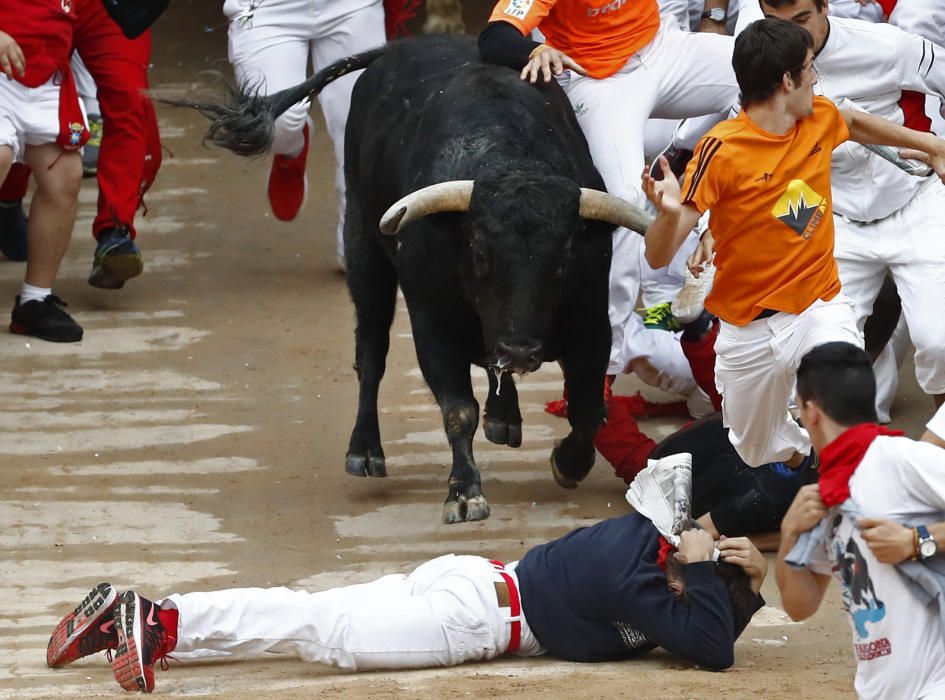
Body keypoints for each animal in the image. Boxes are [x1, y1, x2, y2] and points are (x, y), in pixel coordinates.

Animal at [175, 35, 648, 524]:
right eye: (480, 252)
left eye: (563, 258)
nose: (520, 349)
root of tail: (402, 45)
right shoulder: (432, 327)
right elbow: (458, 410)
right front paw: (464, 492)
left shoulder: (591, 326)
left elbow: (588, 408)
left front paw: (567, 463)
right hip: (364, 250)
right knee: (371, 353)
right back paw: (365, 450)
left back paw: (504, 415)